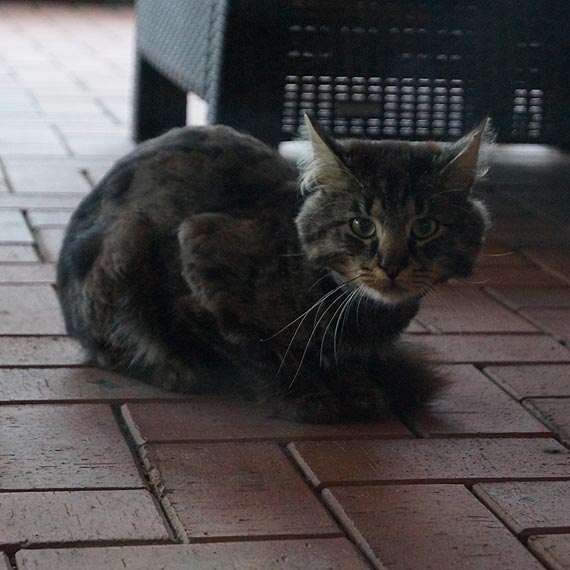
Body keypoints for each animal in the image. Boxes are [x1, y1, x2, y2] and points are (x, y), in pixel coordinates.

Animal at [58, 115, 492, 420]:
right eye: (362, 225)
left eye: (425, 227)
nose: (391, 264)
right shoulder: (200, 259)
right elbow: (263, 352)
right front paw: (305, 396)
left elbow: (349, 363)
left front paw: (359, 390)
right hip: (126, 243)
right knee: (114, 347)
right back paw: (176, 368)